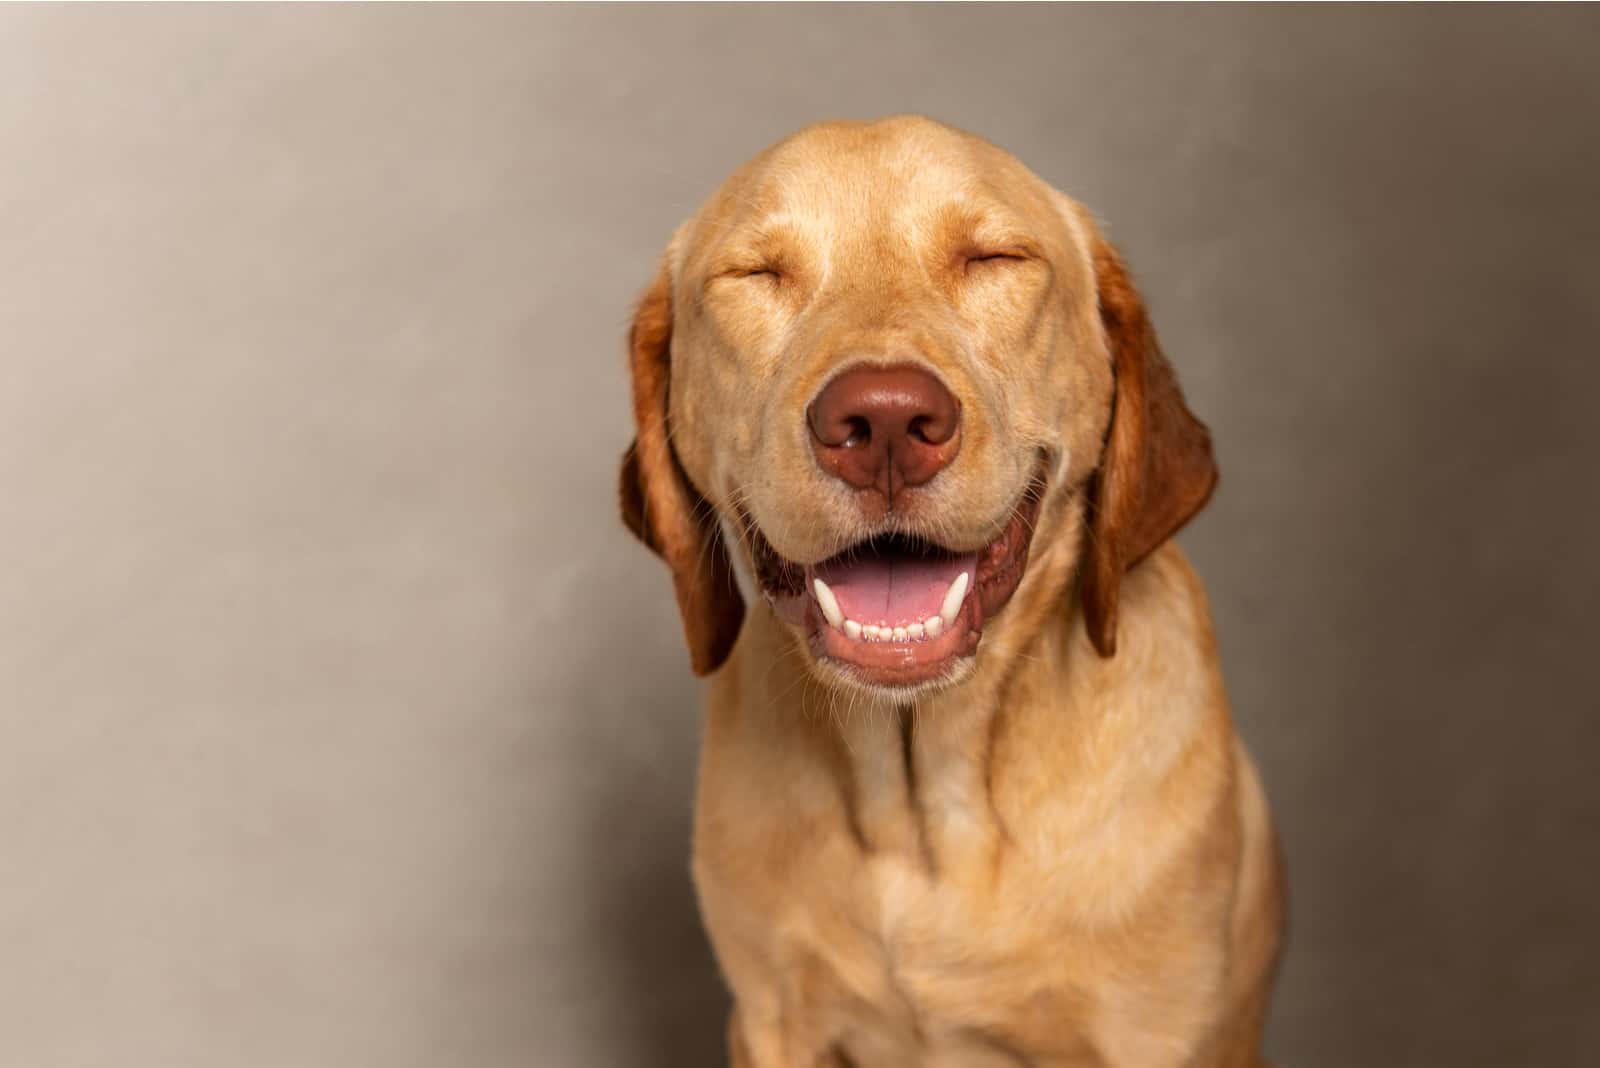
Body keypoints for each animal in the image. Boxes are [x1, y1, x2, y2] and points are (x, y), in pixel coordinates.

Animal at [617, 116, 1280, 1068]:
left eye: (994, 258)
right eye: (756, 274)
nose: (884, 422)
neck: (921, 806)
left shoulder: (1158, 1033)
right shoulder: (772, 1019)